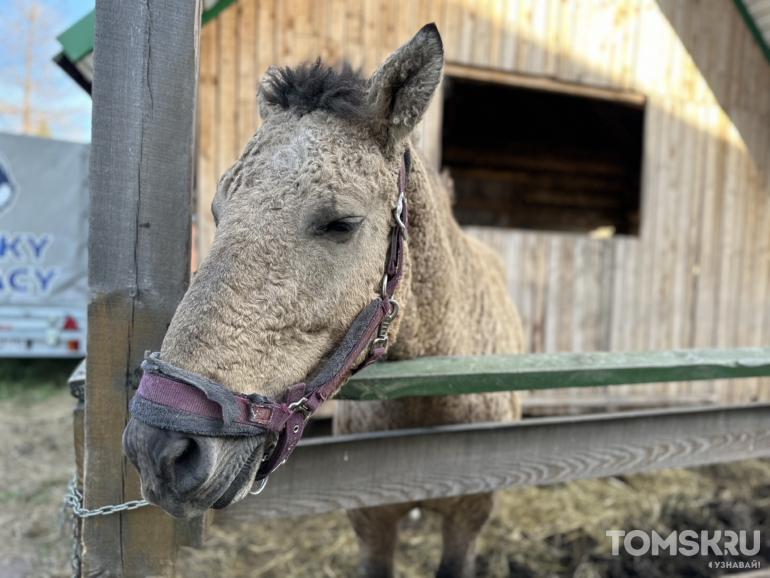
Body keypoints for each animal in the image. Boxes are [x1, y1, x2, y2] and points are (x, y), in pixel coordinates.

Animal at [124, 23, 520, 576]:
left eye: (342, 223)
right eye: (218, 212)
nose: (160, 450)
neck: (433, 407)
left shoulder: (468, 520)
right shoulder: (372, 524)